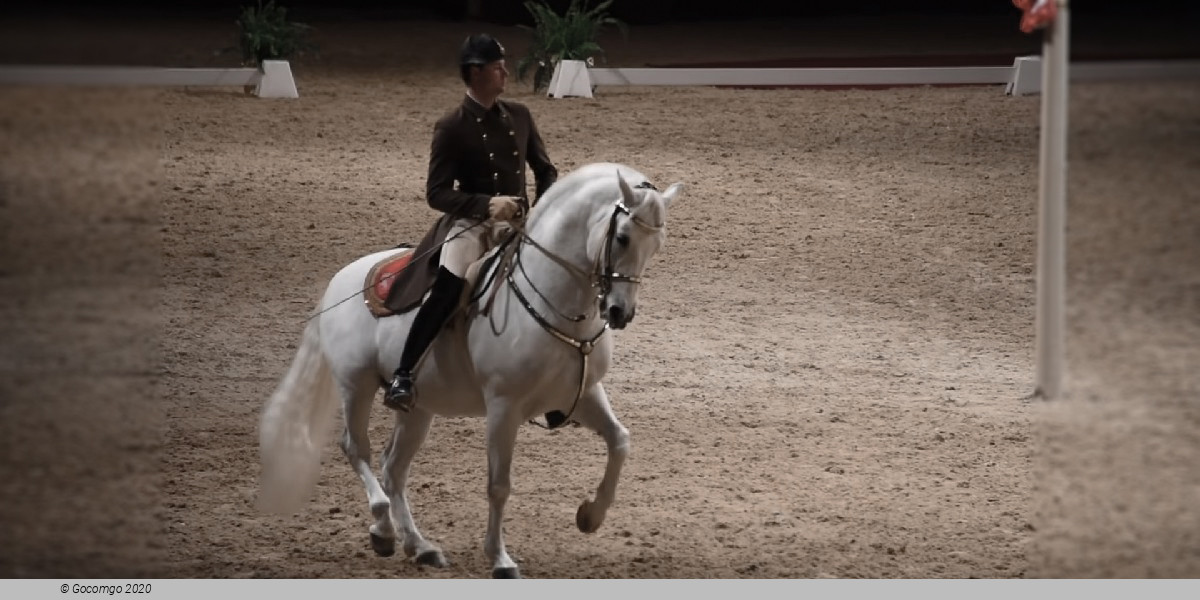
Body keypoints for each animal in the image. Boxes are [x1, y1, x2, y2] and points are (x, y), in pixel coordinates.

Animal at [256, 160, 681, 576]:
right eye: (622, 237)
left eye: (657, 244)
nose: (620, 312)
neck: (557, 304)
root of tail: (340, 279)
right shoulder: (503, 407)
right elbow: (499, 485)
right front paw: (500, 559)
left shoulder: (582, 394)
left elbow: (620, 441)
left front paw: (591, 516)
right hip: (355, 385)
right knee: (356, 448)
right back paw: (382, 528)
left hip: (418, 409)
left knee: (393, 467)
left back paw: (420, 546)